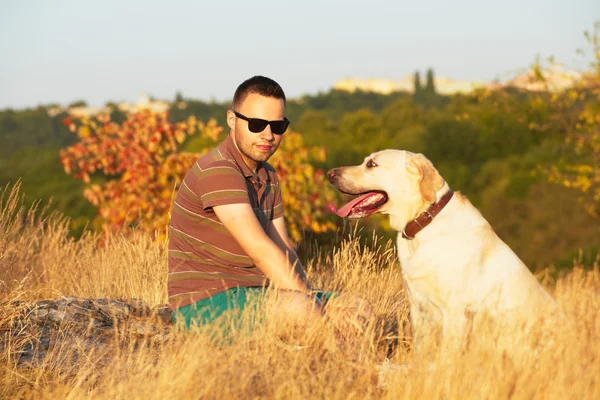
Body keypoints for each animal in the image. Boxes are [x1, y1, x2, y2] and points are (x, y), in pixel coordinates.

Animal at [328, 151, 556, 354]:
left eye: (371, 164)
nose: (330, 173)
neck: (424, 220)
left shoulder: (456, 311)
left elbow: (447, 355)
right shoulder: (419, 308)